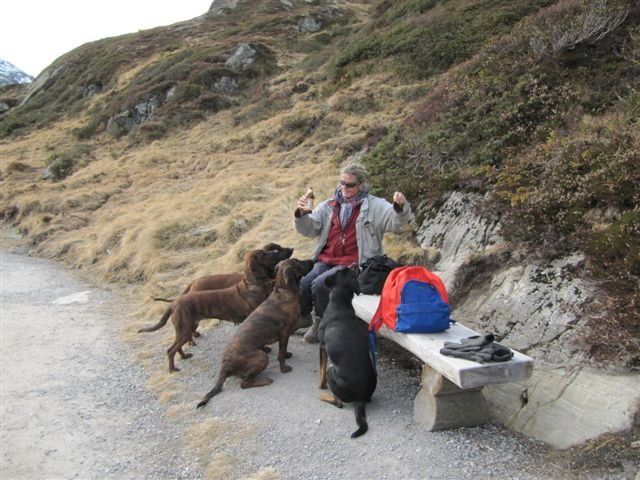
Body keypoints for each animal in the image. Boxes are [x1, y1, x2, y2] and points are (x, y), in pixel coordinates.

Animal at [138, 246, 293, 372]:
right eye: (263, 253)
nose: (278, 251)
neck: (254, 283)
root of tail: (174, 303)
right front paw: (265, 349)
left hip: (185, 329)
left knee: (176, 346)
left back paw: (184, 356)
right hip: (185, 329)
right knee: (170, 350)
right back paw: (173, 368)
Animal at [197, 258, 314, 408]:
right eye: (298, 262)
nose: (312, 260)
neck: (284, 291)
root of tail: (225, 365)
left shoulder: (285, 334)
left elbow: (284, 349)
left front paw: (287, 354)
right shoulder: (284, 332)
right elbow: (281, 353)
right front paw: (284, 368)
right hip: (261, 356)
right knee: (244, 384)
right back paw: (264, 381)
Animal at [317, 266, 377, 438]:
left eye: (341, 270)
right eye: (347, 271)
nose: (355, 264)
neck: (340, 304)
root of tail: (360, 399)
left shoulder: (322, 347)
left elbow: (321, 370)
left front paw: (320, 386)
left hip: (332, 371)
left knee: (338, 402)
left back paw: (323, 396)